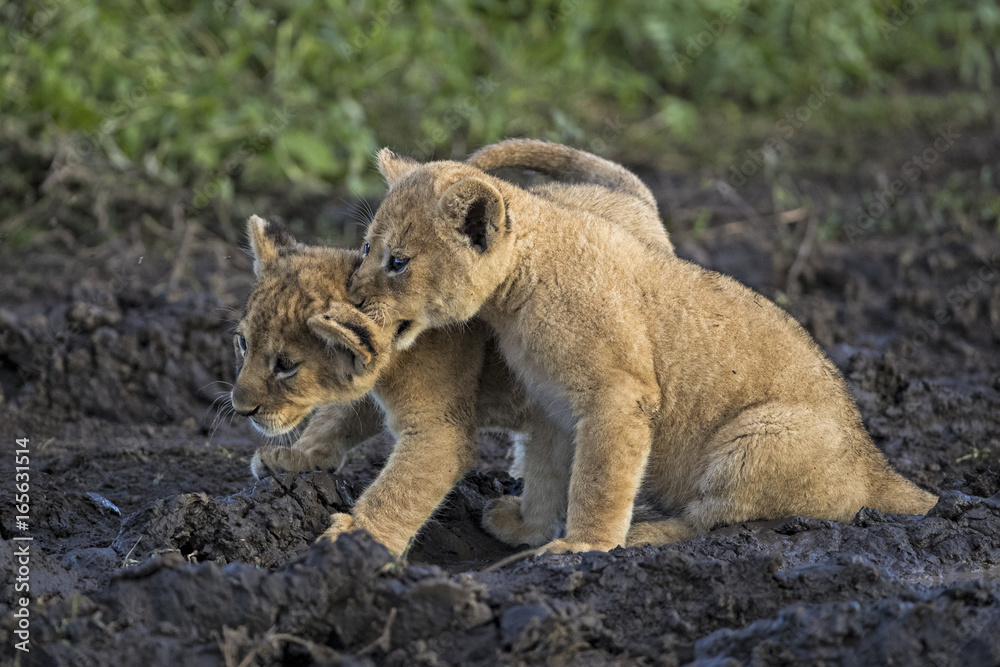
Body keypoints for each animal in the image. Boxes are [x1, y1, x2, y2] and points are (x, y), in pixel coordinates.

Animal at [232, 140, 672, 552]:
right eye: (241, 344)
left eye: (286, 365)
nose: (240, 408)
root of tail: (632, 196)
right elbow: (338, 415)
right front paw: (298, 456)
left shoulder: (439, 428)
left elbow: (398, 490)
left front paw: (356, 539)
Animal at [346, 146, 939, 553]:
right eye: (366, 246)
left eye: (397, 261)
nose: (351, 297)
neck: (517, 290)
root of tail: (875, 464)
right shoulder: (553, 406)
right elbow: (546, 472)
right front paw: (529, 528)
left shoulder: (618, 397)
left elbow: (599, 481)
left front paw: (583, 547)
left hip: (760, 434)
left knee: (710, 521)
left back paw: (643, 534)